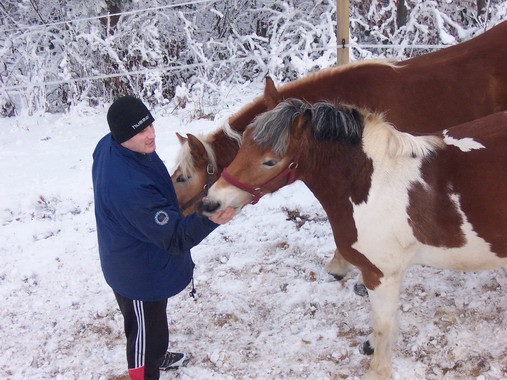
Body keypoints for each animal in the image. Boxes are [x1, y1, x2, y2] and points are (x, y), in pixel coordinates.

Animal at [197, 99, 507, 378]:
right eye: (242, 147)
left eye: (269, 161)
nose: (211, 203)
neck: (372, 183)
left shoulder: (380, 274)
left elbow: (383, 325)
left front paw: (377, 372)